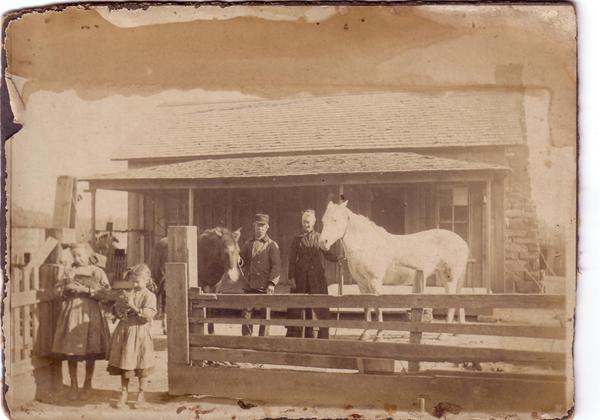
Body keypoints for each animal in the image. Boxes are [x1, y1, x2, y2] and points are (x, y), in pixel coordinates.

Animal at [322, 199, 472, 340]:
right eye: (323, 220)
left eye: (335, 219)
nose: (322, 242)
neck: (368, 245)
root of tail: (462, 242)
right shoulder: (362, 284)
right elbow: (367, 308)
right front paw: (364, 334)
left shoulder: (375, 282)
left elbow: (378, 307)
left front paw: (379, 334)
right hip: (444, 276)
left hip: (449, 278)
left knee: (451, 303)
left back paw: (442, 335)